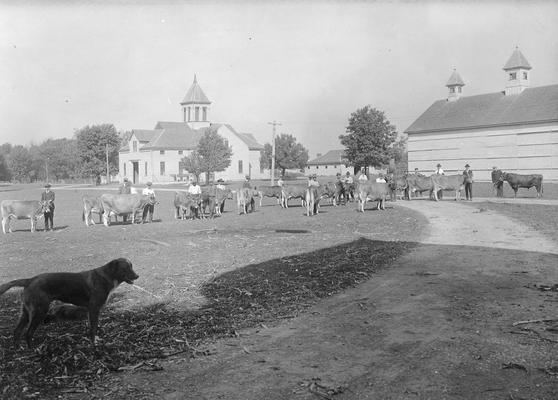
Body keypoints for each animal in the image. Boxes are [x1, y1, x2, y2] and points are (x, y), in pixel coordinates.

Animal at [0, 260, 139, 346]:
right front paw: (94, 344)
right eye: (126, 268)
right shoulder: (94, 308)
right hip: (39, 311)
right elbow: (93, 329)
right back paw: (34, 351)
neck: (108, 276)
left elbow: (92, 327)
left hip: (26, 312)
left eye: (132, 266)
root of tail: (30, 279)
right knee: (28, 333)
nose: (137, 276)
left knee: (17, 331)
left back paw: (18, 349)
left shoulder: (91, 310)